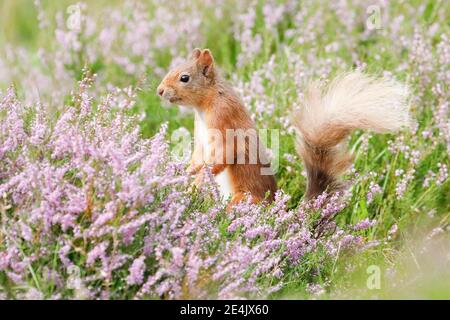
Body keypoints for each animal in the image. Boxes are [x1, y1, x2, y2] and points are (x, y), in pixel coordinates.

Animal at [156, 47, 410, 208]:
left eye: (185, 78)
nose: (159, 90)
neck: (204, 105)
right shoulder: (201, 139)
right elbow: (198, 156)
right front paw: (189, 173)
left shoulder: (224, 121)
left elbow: (226, 153)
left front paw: (202, 177)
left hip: (244, 199)